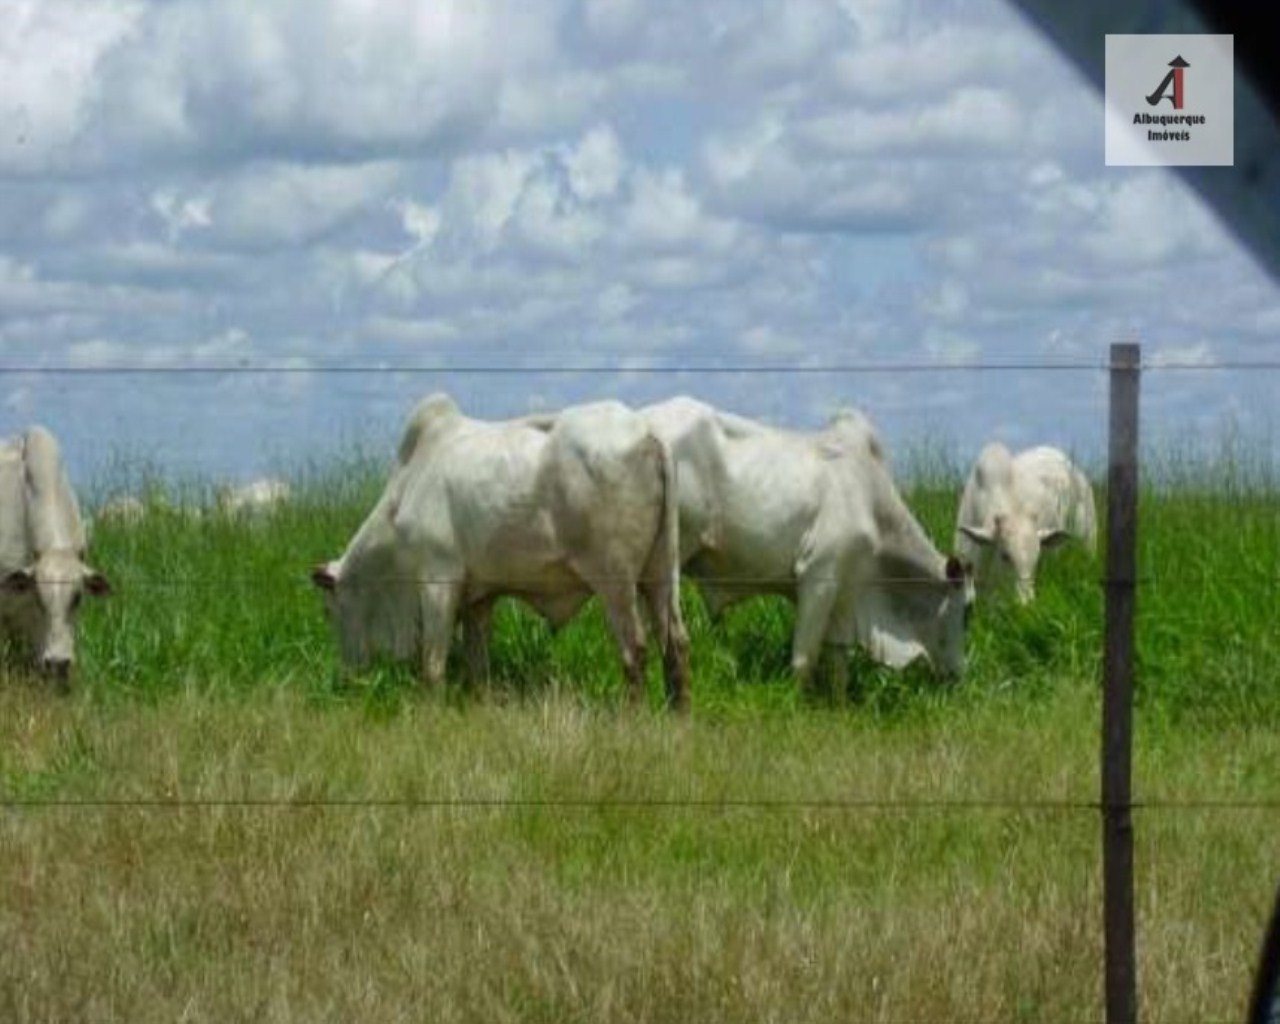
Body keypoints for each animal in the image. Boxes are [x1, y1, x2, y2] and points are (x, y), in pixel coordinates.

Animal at [309, 396, 691, 706]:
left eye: (329, 611)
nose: (348, 677)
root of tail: (646, 432)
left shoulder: (438, 580)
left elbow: (433, 664)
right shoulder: (479, 598)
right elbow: (477, 665)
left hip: (615, 581)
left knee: (635, 649)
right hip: (660, 575)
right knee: (675, 644)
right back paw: (679, 717)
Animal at [640, 394, 967, 696]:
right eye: (968, 610)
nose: (959, 675)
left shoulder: (845, 592)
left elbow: (838, 659)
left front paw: (839, 704)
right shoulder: (819, 576)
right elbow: (804, 658)